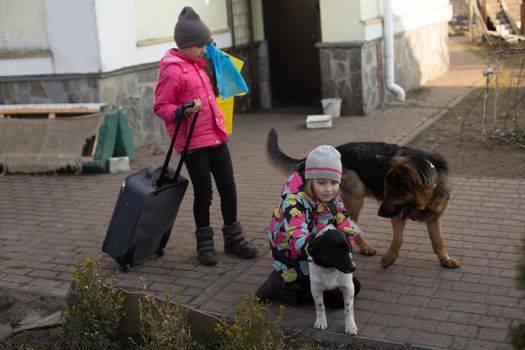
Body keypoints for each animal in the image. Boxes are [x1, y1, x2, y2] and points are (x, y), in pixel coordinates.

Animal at [266, 129, 458, 268]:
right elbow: (398, 240)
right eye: (387, 191)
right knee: (352, 226)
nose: (380, 214)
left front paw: (445, 259)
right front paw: (389, 259)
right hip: (356, 195)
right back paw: (364, 247)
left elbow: (438, 242)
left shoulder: (434, 218)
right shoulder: (397, 217)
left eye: (395, 193)